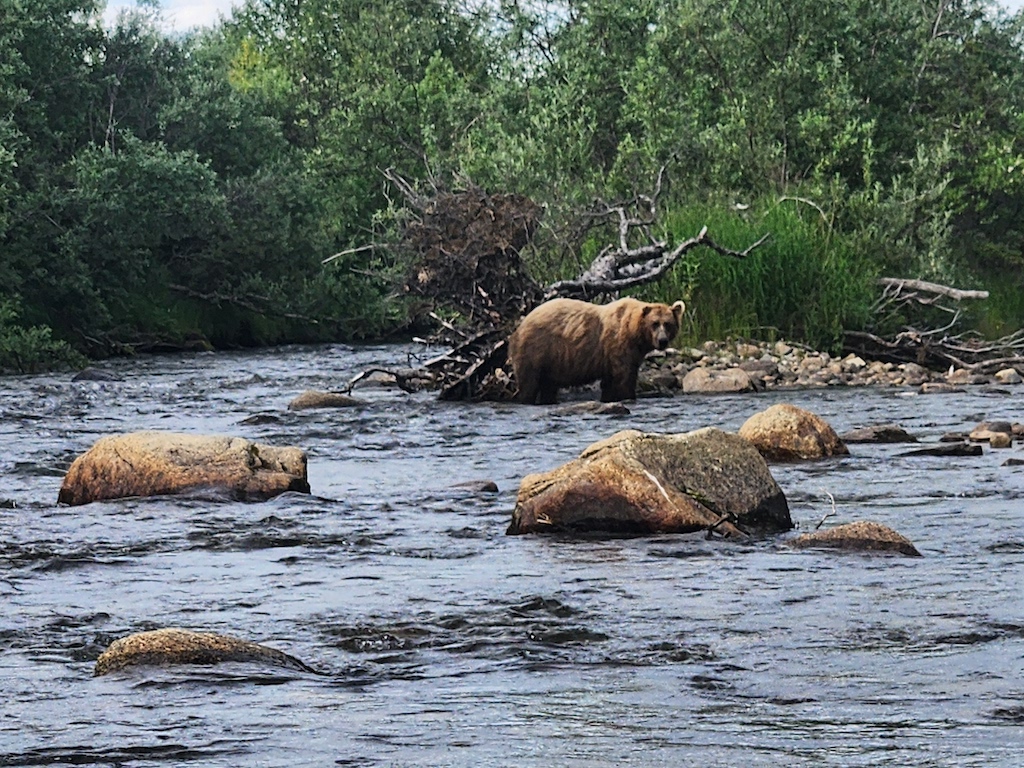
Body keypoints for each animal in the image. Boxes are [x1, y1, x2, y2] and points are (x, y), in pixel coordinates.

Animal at [506, 297, 685, 404]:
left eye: (668, 324)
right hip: (535, 350)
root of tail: (519, 326)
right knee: (529, 383)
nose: (662, 341)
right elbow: (624, 378)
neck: (634, 333)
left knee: (548, 386)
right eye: (654, 323)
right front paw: (628, 396)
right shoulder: (618, 346)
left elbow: (609, 383)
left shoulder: (615, 356)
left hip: (551, 363)